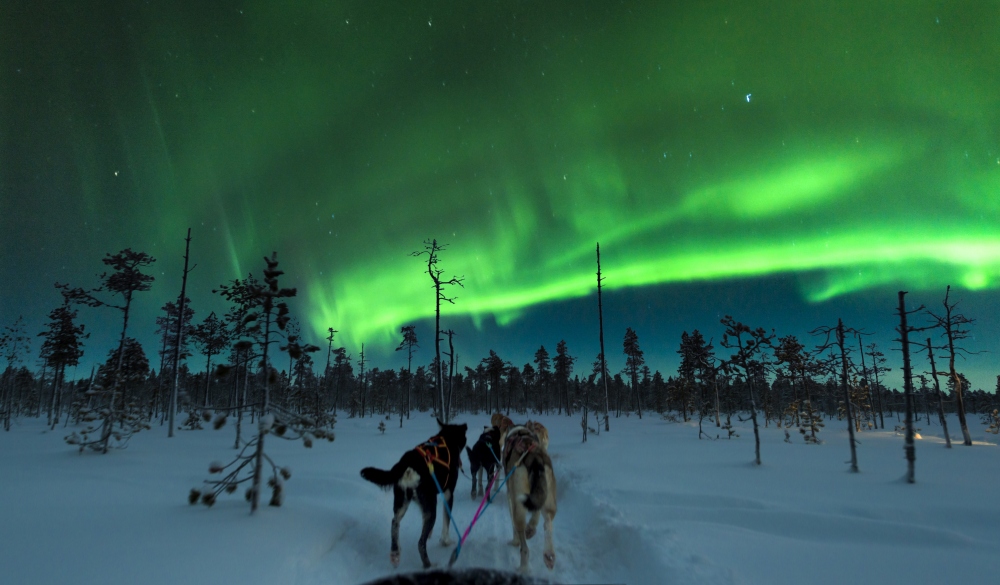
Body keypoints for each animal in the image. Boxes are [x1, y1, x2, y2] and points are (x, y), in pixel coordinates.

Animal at [360, 418, 468, 568]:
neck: (447, 439)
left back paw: (395, 553)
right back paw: (428, 565)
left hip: (401, 502)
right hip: (430, 506)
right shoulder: (448, 494)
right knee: (420, 543)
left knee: (394, 523)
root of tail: (407, 463)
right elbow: (446, 523)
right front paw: (446, 541)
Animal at [504, 424, 560, 572]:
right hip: (548, 499)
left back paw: (523, 568)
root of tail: (534, 457)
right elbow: (536, 512)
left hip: (519, 508)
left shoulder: (511, 498)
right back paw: (548, 554)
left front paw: (514, 541)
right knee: (547, 522)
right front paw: (532, 526)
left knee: (524, 548)